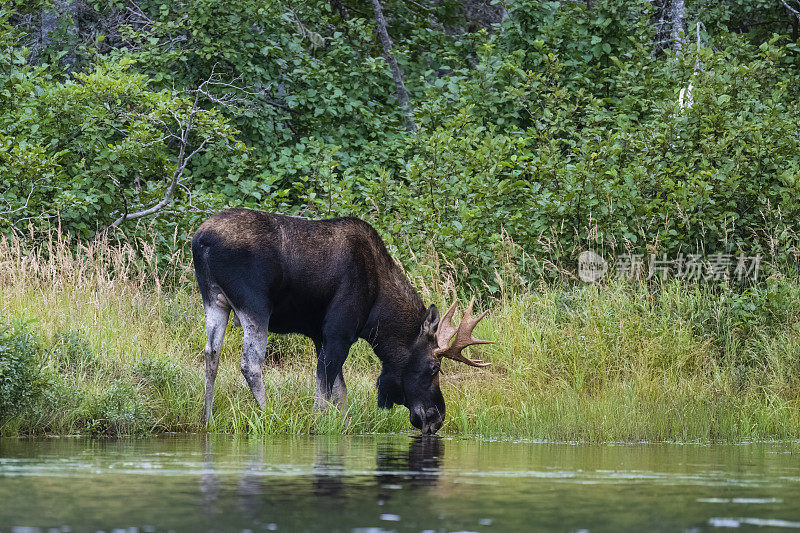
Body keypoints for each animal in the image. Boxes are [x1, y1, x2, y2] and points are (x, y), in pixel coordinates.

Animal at [192, 207, 494, 432]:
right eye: (434, 368)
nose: (436, 417)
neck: (377, 315)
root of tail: (201, 240)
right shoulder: (339, 332)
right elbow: (325, 391)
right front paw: (318, 426)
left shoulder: (320, 335)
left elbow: (339, 392)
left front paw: (345, 428)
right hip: (255, 305)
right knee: (250, 364)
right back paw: (269, 415)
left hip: (214, 300)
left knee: (211, 353)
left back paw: (207, 419)